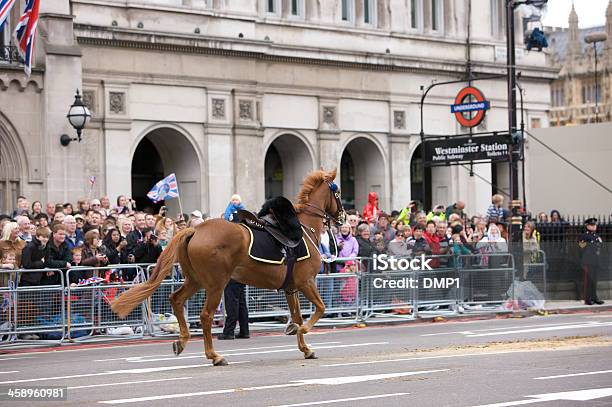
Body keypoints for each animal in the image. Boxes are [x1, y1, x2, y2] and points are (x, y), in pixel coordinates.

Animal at [111, 169, 344, 366]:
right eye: (338, 192)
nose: (341, 217)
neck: (304, 229)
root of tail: (196, 230)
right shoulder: (306, 282)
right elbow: (320, 308)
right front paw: (300, 329)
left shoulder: (291, 287)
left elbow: (297, 315)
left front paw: (305, 347)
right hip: (216, 284)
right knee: (205, 315)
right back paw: (214, 355)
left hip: (195, 280)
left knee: (176, 299)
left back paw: (183, 340)